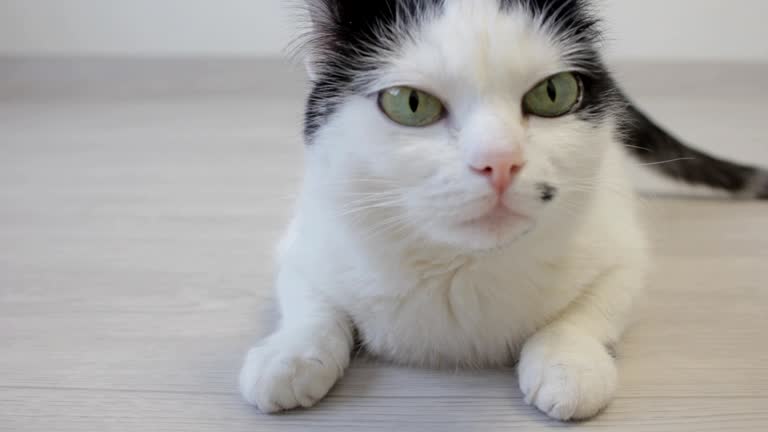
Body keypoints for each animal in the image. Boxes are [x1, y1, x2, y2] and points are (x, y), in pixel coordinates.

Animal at [237, 0, 764, 420]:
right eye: (411, 103)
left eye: (552, 94)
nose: (500, 161)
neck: (461, 272)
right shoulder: (306, 240)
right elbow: (313, 307)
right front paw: (287, 357)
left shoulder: (624, 251)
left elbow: (590, 308)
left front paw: (569, 364)